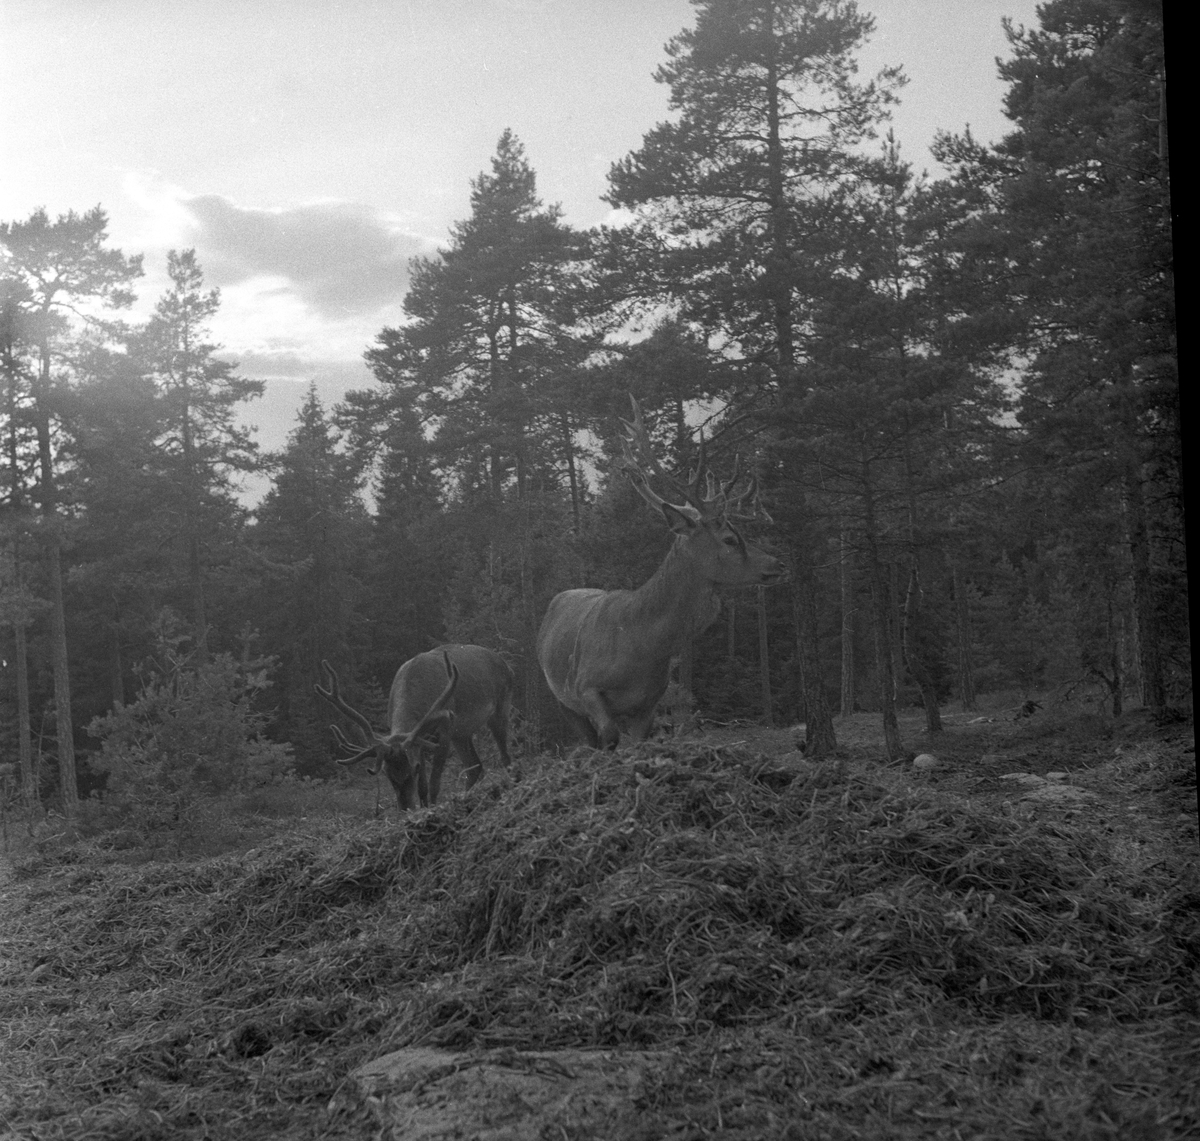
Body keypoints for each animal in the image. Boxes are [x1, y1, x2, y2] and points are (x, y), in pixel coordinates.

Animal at [314, 643, 511, 811]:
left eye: (414, 768)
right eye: (386, 773)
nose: (405, 807)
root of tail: (505, 663)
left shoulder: (445, 728)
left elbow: (434, 783)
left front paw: (432, 809)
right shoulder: (420, 741)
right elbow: (422, 787)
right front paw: (422, 809)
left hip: (500, 707)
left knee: (505, 757)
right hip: (461, 734)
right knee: (475, 766)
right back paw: (469, 797)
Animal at [537, 400, 782, 748]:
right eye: (730, 539)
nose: (778, 563)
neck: (643, 646)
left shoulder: (649, 702)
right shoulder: (584, 686)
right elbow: (608, 735)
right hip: (559, 695)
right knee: (588, 738)